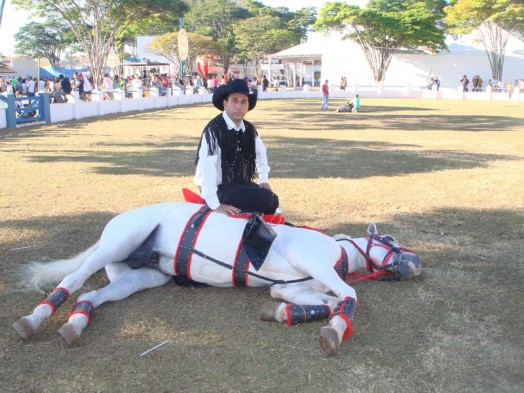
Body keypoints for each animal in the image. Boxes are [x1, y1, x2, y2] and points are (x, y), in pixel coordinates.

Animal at [13, 202, 422, 356]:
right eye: (389, 239)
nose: (417, 263)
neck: (338, 254)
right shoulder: (311, 261)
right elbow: (350, 294)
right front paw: (334, 331)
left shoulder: (291, 288)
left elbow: (325, 301)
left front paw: (290, 315)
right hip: (117, 244)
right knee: (74, 279)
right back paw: (32, 320)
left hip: (140, 277)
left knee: (95, 296)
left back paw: (75, 325)